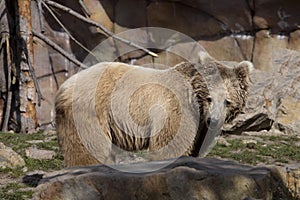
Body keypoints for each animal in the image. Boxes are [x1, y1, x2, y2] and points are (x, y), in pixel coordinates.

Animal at [55, 52, 252, 167]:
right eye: (209, 98)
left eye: (227, 101)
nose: (214, 120)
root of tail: (64, 85)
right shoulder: (176, 109)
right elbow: (170, 145)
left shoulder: (200, 127)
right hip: (90, 110)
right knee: (89, 147)